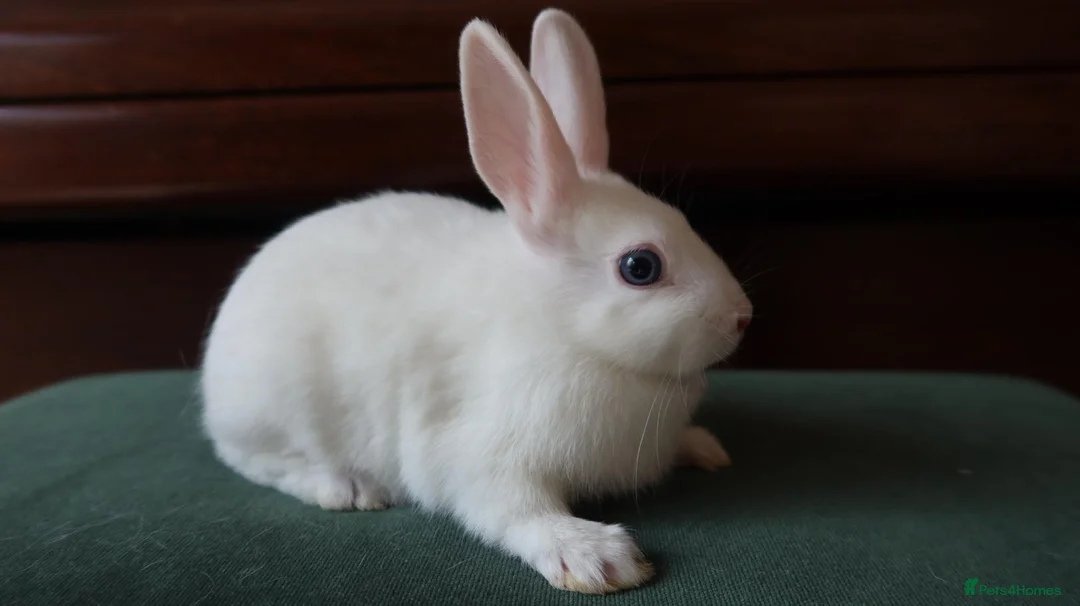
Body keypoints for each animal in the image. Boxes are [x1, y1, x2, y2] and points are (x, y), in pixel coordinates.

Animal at [198, 7, 752, 595]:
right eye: (640, 267)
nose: (742, 317)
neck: (562, 332)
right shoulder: (483, 457)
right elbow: (518, 512)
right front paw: (595, 556)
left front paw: (702, 446)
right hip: (276, 409)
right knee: (260, 462)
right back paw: (348, 486)